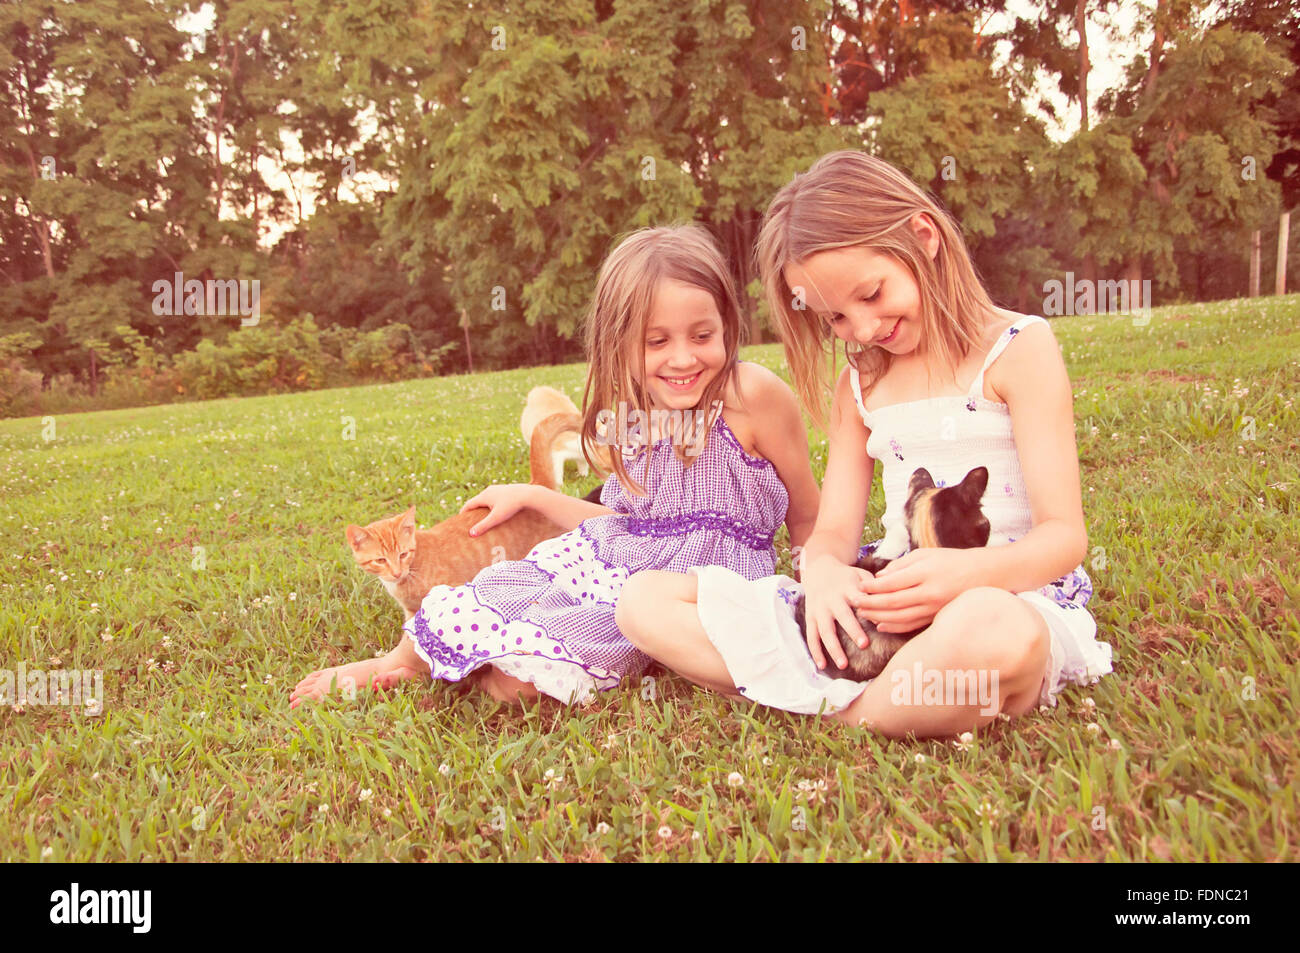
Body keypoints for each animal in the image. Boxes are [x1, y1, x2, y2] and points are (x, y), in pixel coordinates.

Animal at [351, 408, 585, 616]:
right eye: (380, 560)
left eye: (403, 554)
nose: (396, 572)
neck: (411, 571)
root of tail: (534, 485)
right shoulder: (410, 611)